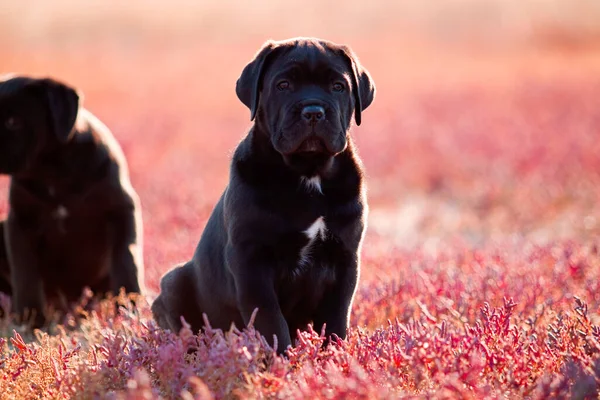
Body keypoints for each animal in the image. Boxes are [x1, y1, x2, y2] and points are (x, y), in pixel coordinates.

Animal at [0, 76, 145, 328]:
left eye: (13, 121)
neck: (52, 171)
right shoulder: (19, 223)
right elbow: (25, 275)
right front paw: (31, 321)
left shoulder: (121, 211)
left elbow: (127, 260)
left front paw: (130, 309)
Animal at [151, 36, 376, 352]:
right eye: (283, 85)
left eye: (338, 86)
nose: (313, 111)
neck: (308, 173)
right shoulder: (252, 260)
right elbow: (270, 320)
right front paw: (281, 359)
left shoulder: (345, 258)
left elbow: (336, 319)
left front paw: (334, 357)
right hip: (173, 283)